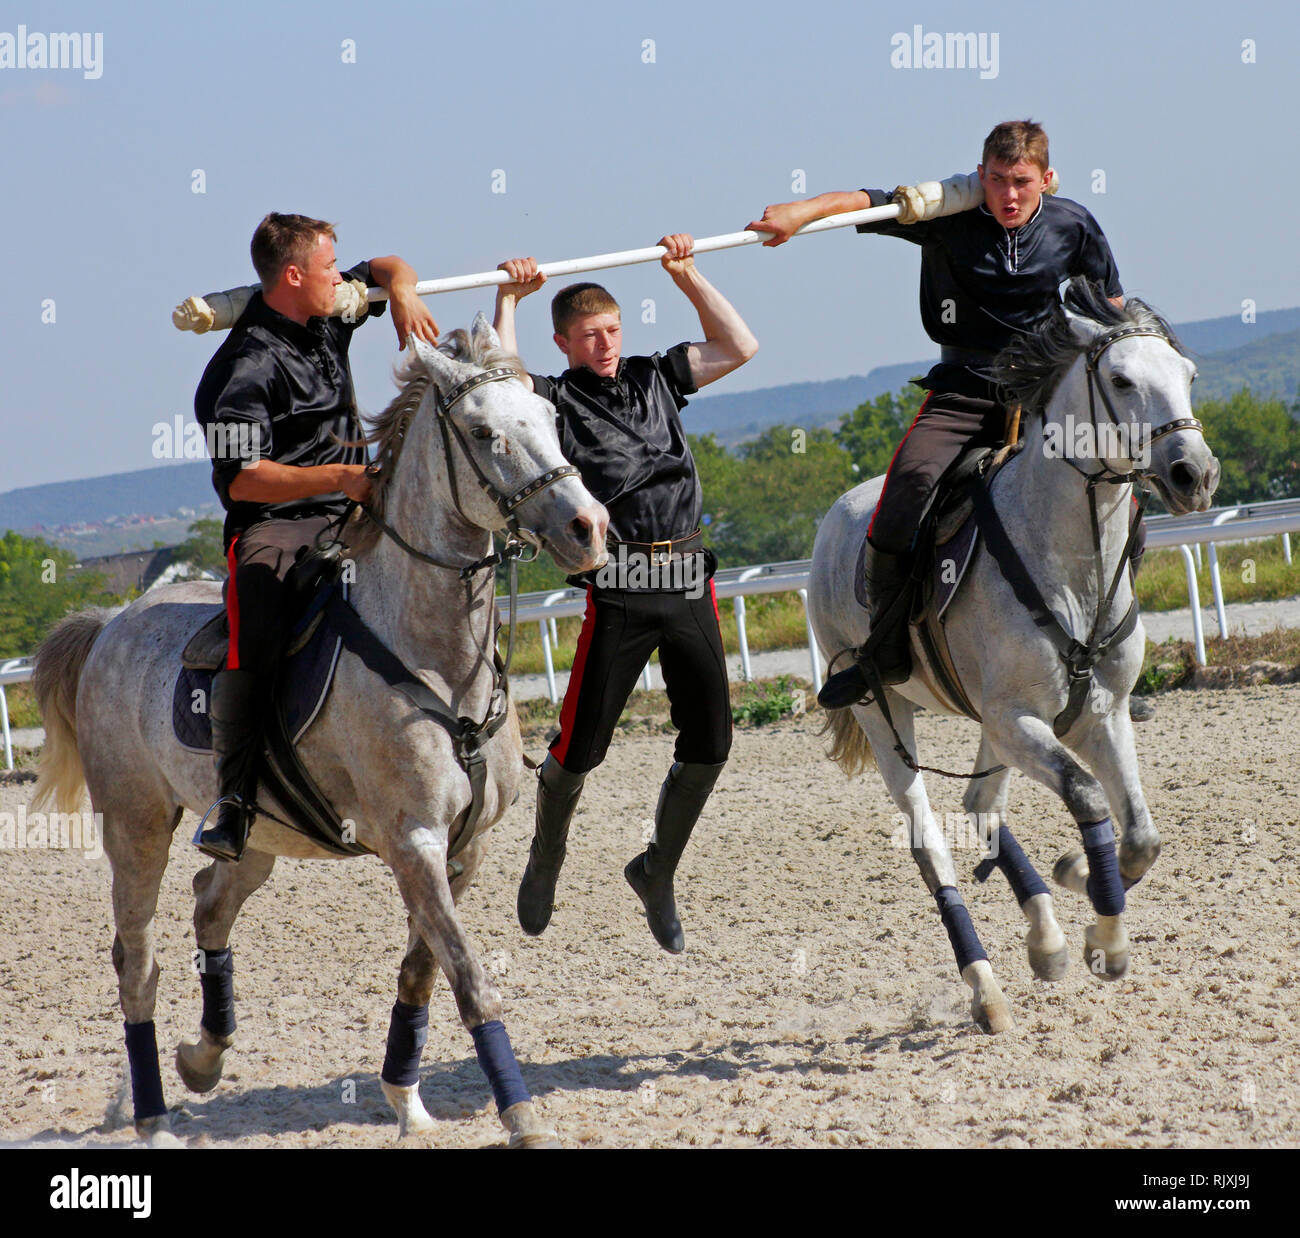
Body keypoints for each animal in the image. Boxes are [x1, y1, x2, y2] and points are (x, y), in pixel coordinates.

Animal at [30, 314, 608, 1144]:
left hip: (258, 836)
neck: (429, 653)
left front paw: (407, 1099)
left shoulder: (463, 848)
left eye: (550, 419)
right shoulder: (413, 843)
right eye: (482, 431)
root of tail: (112, 622)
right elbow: (469, 978)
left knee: (211, 900)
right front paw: (522, 1116)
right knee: (136, 961)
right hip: (136, 827)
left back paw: (204, 1057)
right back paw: (153, 1116)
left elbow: (422, 969)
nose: (587, 528)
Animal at [811, 284, 1216, 1029]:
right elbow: (1088, 796)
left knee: (980, 807)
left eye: (1189, 374)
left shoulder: (1099, 715)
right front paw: (1107, 939)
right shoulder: (1017, 720)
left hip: (993, 731)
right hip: (888, 717)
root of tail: (837, 516)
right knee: (931, 842)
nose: (1194, 474)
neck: (1071, 563)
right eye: (1121, 380)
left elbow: (1140, 836)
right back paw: (986, 988)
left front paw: (1078, 884)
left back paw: (1045, 938)